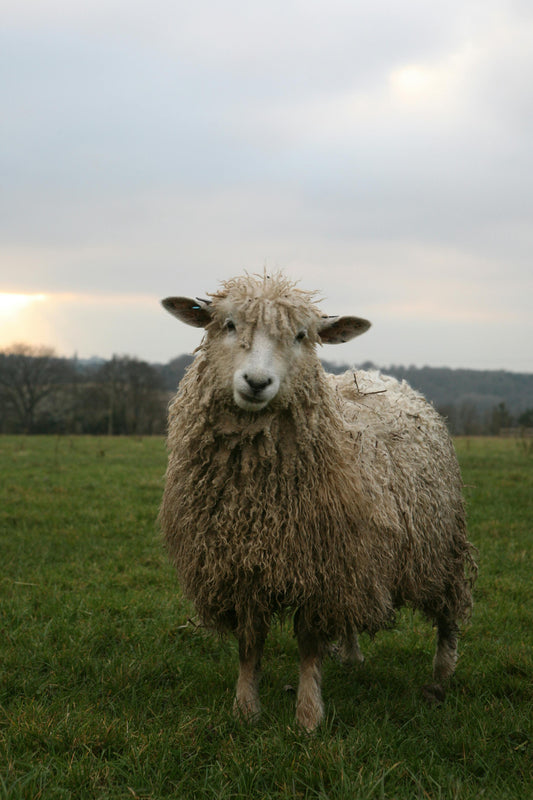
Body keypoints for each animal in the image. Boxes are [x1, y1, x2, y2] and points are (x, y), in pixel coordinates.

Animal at [159, 272, 477, 731]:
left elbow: (309, 644)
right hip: (361, 553)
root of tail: (381, 376)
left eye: (301, 335)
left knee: (449, 610)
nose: (257, 382)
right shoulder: (243, 563)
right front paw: (245, 709)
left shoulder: (320, 565)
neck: (257, 497)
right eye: (228, 325)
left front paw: (308, 717)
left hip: (439, 541)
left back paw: (440, 678)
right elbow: (249, 643)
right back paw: (351, 655)